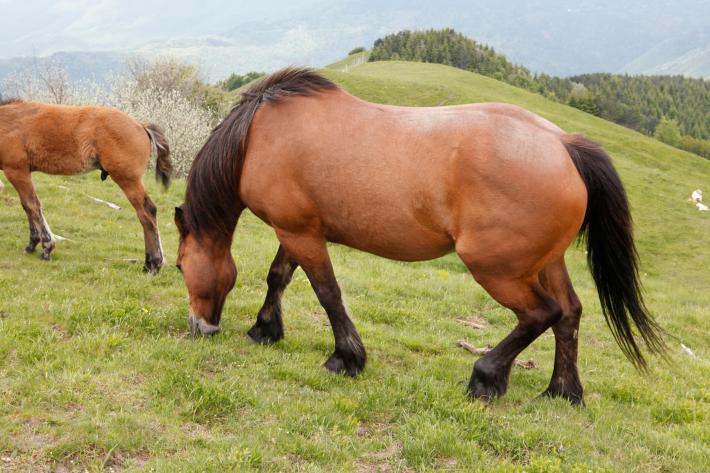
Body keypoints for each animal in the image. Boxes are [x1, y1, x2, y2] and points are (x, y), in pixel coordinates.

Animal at [0, 98, 173, 273]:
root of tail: (141, 125)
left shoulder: (16, 170)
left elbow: (32, 205)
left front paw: (47, 247)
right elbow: (27, 206)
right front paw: (32, 243)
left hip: (128, 180)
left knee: (147, 213)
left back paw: (154, 263)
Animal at [174, 68, 665, 404]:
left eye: (179, 266)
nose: (200, 327)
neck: (258, 135)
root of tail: (563, 144)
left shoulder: (301, 233)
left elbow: (327, 293)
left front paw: (345, 358)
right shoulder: (296, 229)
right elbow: (279, 277)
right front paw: (265, 329)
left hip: (497, 269)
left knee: (540, 314)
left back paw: (486, 377)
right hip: (546, 262)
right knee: (569, 313)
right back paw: (563, 391)